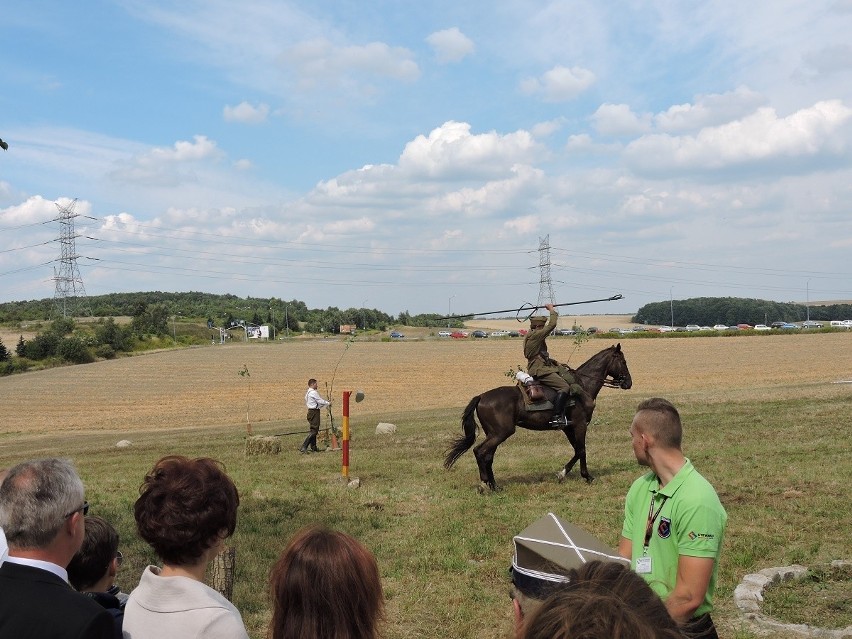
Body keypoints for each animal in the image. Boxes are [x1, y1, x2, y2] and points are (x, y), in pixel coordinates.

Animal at [446, 344, 632, 490]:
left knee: (488, 456)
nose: (629, 383)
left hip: (494, 434)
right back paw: (485, 484)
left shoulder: (568, 427)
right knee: (480, 451)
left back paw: (495, 486)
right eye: (623, 362)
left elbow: (576, 450)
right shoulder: (580, 425)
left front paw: (563, 473)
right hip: (500, 433)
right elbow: (581, 450)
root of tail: (481, 397)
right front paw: (585, 476)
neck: (582, 385)